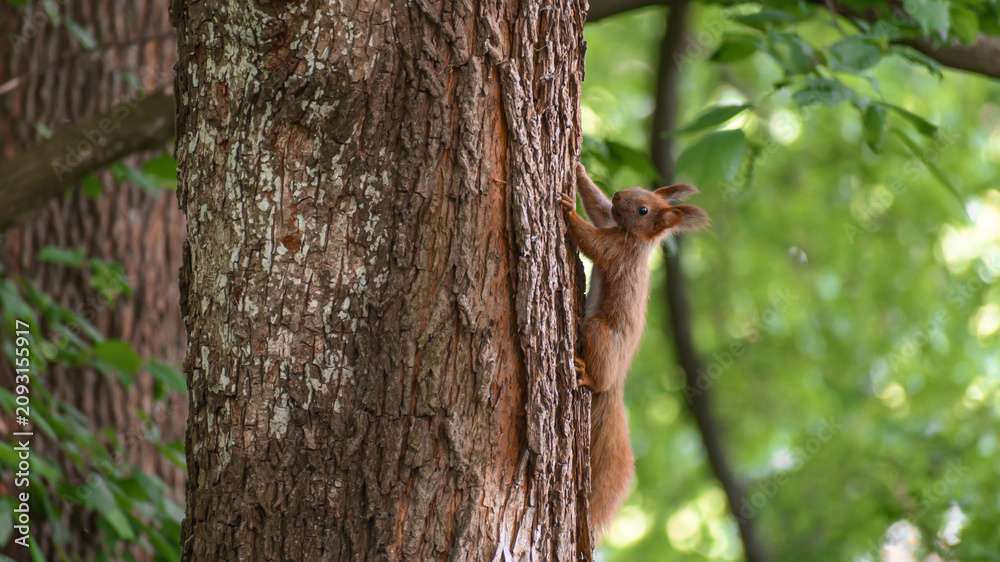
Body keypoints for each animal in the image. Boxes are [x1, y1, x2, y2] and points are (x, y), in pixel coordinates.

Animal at [560, 163, 709, 534]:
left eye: (643, 210)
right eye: (642, 191)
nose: (618, 195)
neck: (636, 240)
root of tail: (618, 381)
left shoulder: (616, 251)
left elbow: (591, 241)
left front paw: (569, 211)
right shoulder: (609, 221)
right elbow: (598, 208)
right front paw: (581, 173)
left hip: (598, 331)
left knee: (598, 376)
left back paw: (587, 377)